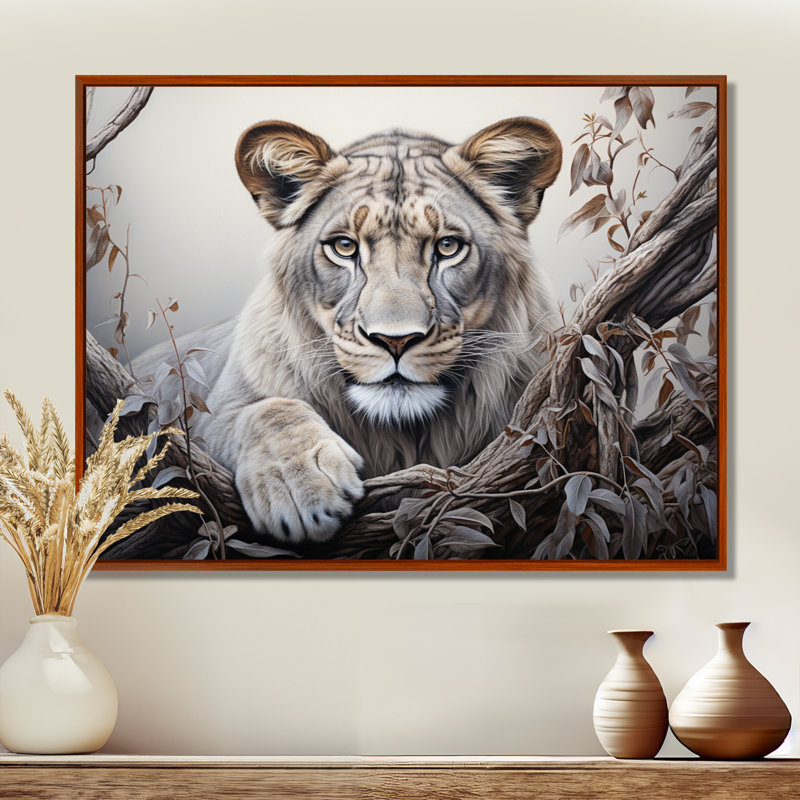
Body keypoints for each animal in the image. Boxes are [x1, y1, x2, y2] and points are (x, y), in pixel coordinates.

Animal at [137, 117, 563, 545]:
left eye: (447, 247)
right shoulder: (207, 418)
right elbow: (266, 411)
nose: (396, 340)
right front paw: (301, 489)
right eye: (344, 247)